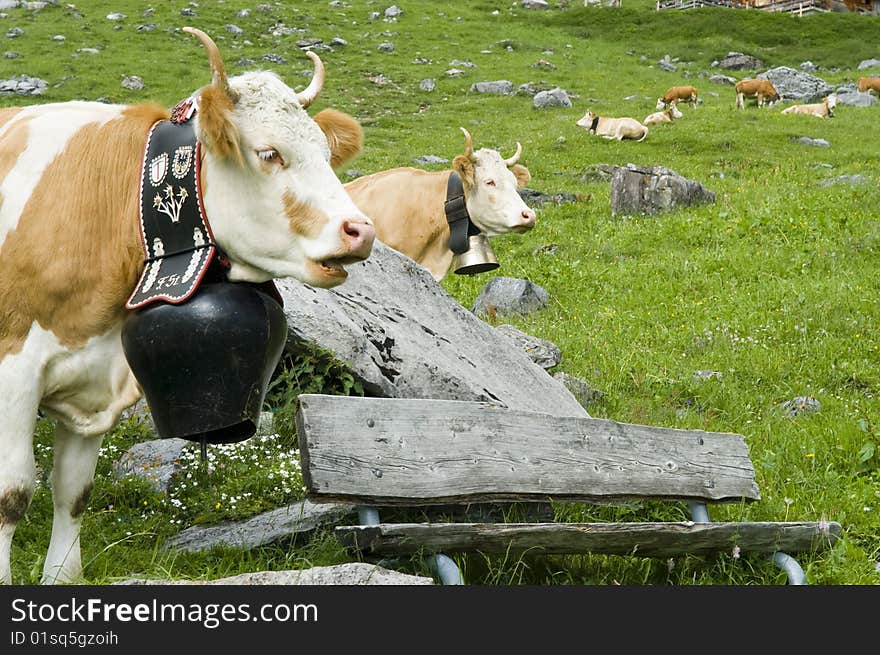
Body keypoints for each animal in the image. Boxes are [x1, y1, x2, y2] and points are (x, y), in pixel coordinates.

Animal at [0, 28, 374, 588]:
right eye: (269, 153)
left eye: (326, 155)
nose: (361, 230)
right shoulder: (15, 366)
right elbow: (13, 491)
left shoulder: (95, 380)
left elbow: (73, 490)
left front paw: (61, 577)